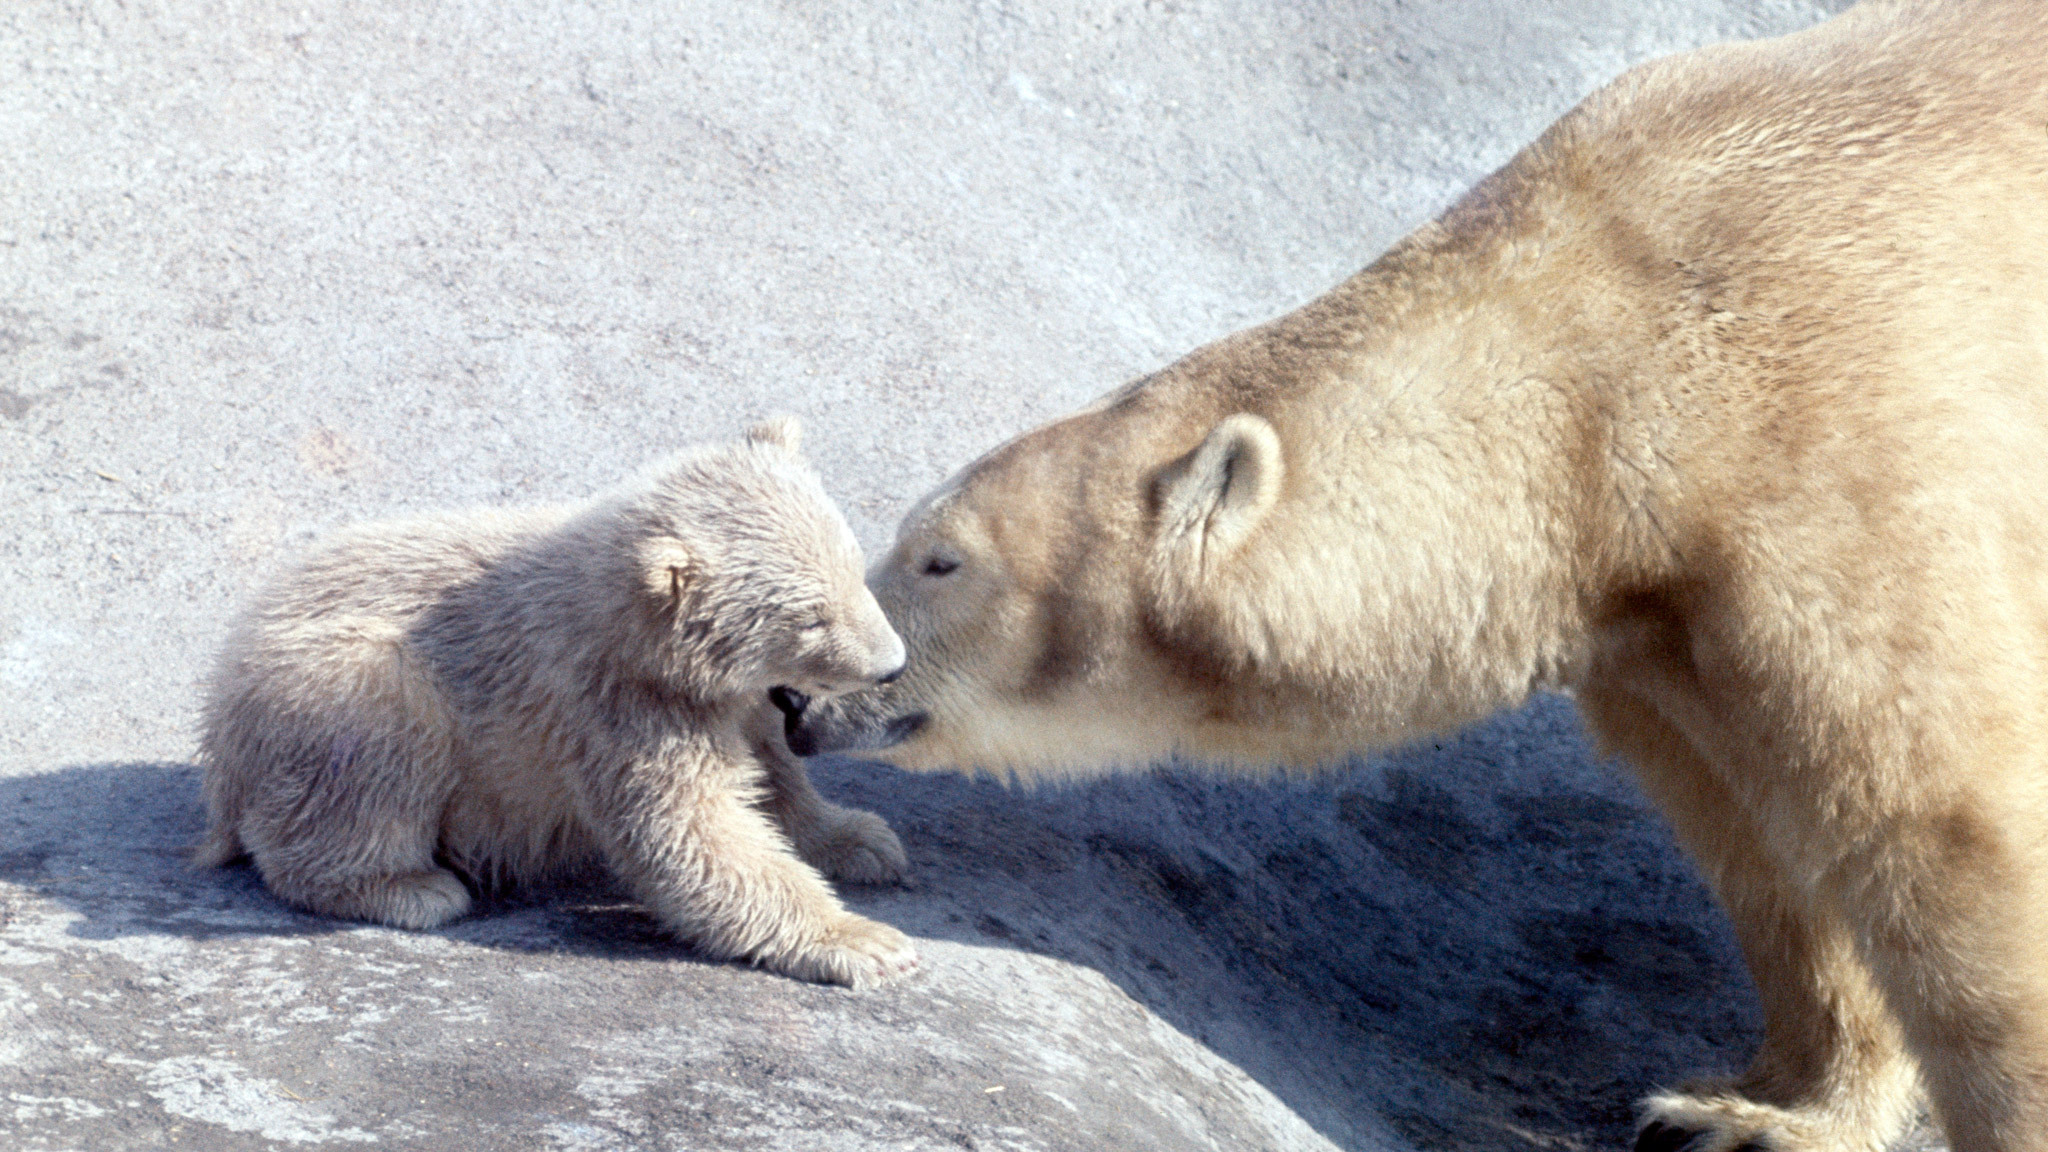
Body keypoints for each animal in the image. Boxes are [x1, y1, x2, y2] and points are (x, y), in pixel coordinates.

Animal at [196, 418, 919, 989]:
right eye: (811, 618)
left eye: (855, 570)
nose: (893, 664)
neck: (629, 625)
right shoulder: (617, 709)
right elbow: (695, 832)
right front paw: (867, 943)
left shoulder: (728, 695)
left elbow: (770, 772)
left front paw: (862, 839)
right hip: (332, 690)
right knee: (375, 743)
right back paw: (411, 888)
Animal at [786, 2, 2048, 1147]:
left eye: (939, 556)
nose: (797, 696)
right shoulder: (1651, 615)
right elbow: (1755, 834)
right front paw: (1747, 1109)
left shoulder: (1832, 472)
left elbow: (1942, 823)